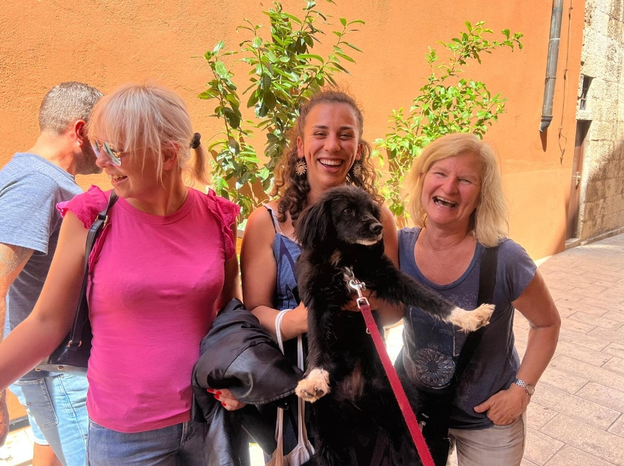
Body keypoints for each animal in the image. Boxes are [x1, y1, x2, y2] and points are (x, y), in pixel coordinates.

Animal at [293, 185, 494, 466]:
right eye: (347, 210)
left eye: (371, 210)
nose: (377, 227)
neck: (346, 261)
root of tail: (358, 401)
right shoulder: (318, 301)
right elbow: (318, 343)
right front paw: (314, 378)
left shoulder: (388, 277)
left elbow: (431, 299)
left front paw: (468, 316)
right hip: (328, 433)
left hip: (400, 418)